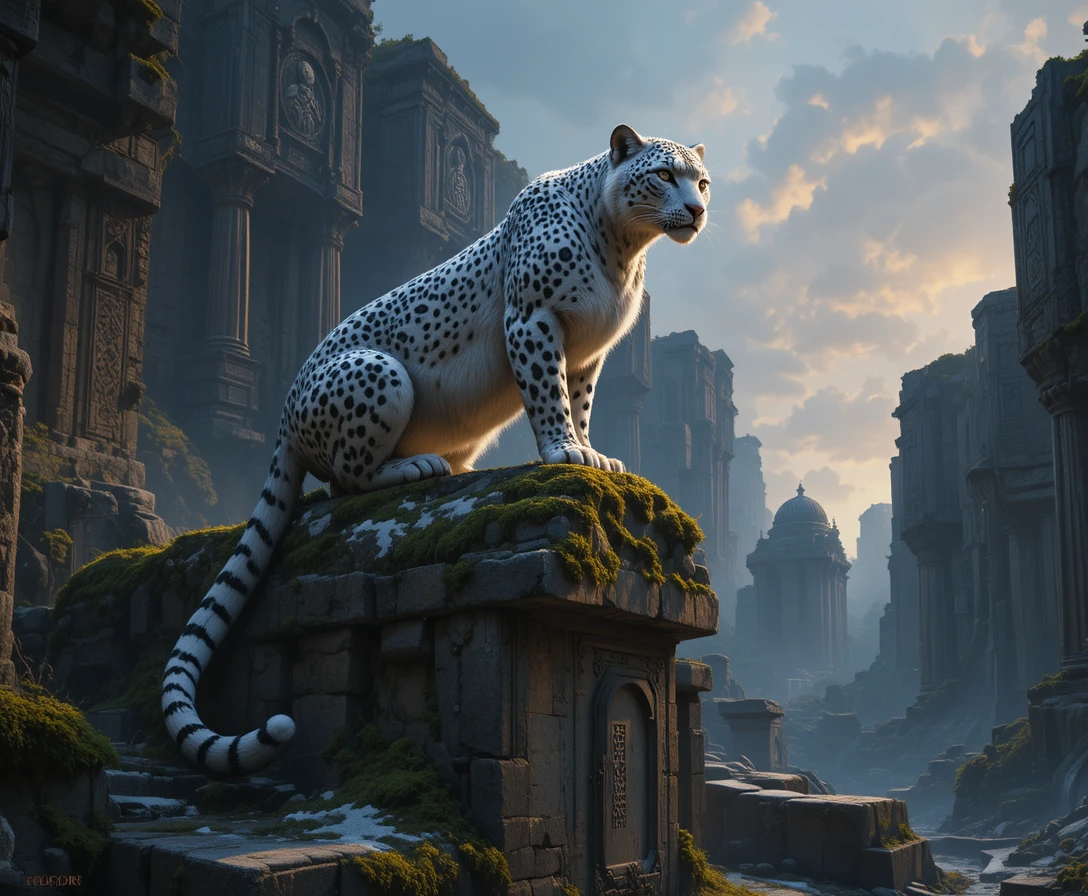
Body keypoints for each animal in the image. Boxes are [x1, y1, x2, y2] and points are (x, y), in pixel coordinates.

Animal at [161, 124, 711, 775]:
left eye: (701, 181)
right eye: (664, 175)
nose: (698, 210)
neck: (623, 244)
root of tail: (285, 411)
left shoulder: (586, 354)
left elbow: (578, 403)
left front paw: (592, 452)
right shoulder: (532, 320)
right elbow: (547, 397)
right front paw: (562, 452)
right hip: (382, 374)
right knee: (342, 482)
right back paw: (418, 467)